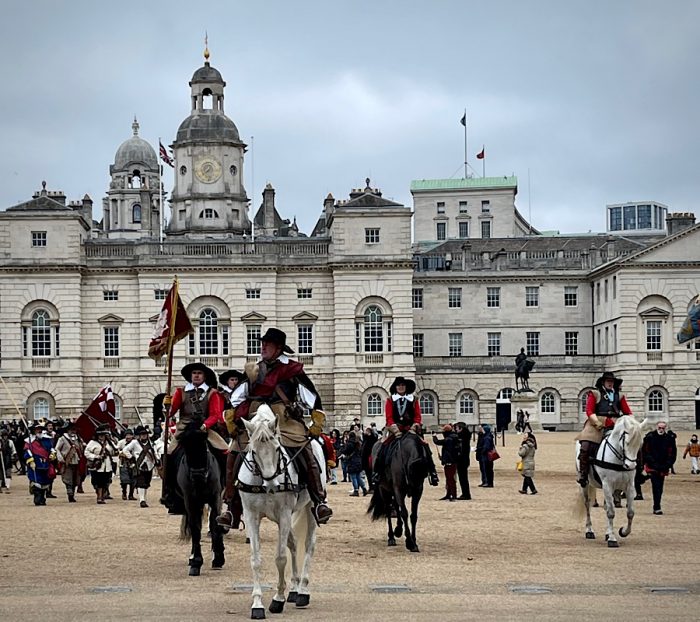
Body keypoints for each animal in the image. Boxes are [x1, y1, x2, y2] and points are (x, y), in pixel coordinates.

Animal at [176, 422, 226, 576]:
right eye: (186, 447)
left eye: (204, 445)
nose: (198, 475)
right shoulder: (190, 501)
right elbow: (195, 528)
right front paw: (196, 562)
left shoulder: (215, 498)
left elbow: (215, 524)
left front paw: (218, 558)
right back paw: (192, 557)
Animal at [238, 404, 320, 620]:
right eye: (253, 451)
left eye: (277, 448)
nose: (271, 486)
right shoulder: (251, 516)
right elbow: (256, 559)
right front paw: (257, 603)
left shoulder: (283, 514)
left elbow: (280, 557)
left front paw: (278, 598)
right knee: (293, 543)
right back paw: (294, 588)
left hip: (309, 508)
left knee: (308, 544)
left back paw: (303, 591)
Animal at [576, 416, 644, 548]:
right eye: (627, 442)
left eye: (640, 444)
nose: (630, 466)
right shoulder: (607, 485)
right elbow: (611, 512)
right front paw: (612, 539)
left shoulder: (629, 486)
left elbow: (630, 513)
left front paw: (622, 532)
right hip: (585, 484)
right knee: (587, 504)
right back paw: (589, 530)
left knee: (606, 506)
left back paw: (607, 533)